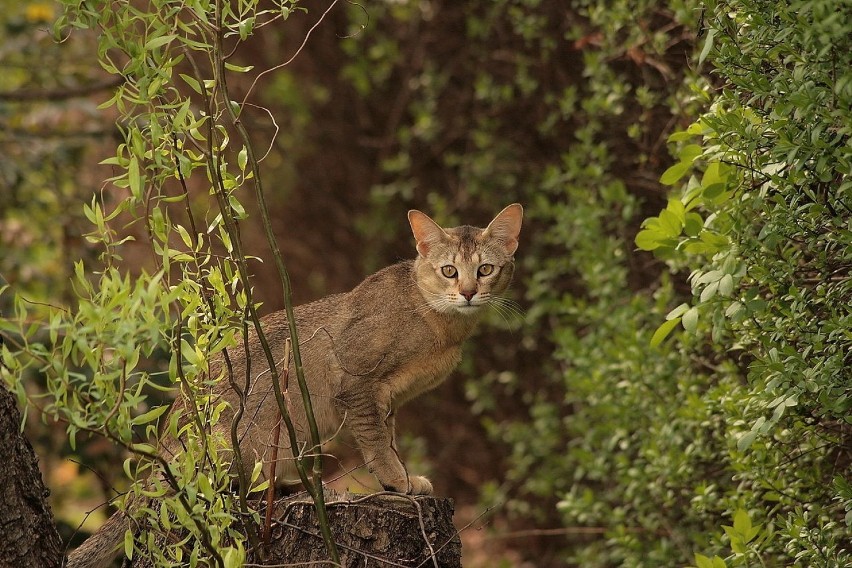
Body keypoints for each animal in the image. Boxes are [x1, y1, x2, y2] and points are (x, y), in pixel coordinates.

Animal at [68, 204, 520, 568]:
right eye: (449, 270)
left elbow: (388, 436)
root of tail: (163, 445)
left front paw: (402, 477)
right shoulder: (357, 383)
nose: (468, 292)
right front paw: (397, 480)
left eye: (485, 270)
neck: (439, 323)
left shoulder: (387, 398)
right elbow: (377, 442)